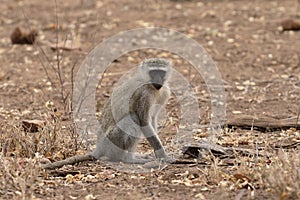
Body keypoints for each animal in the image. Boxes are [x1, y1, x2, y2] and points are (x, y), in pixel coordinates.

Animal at [43, 57, 172, 169]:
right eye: (153, 72)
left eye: (161, 73)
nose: (158, 81)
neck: (152, 86)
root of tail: (100, 146)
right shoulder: (143, 94)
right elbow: (144, 122)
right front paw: (163, 156)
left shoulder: (164, 93)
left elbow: (153, 119)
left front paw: (159, 153)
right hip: (112, 141)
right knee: (133, 118)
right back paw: (129, 159)